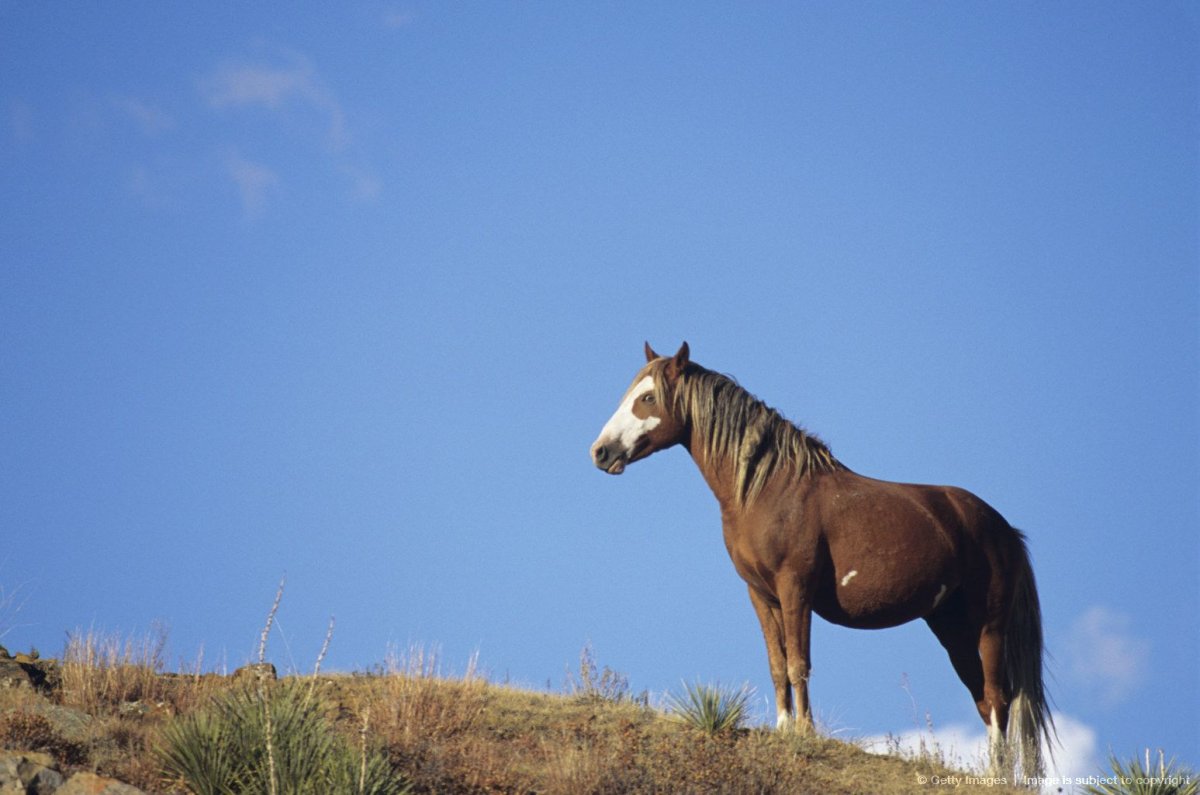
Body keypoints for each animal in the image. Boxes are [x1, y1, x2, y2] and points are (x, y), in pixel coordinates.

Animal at [590, 342, 1055, 780]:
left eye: (648, 397)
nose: (600, 452)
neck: (768, 489)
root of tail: (1003, 528)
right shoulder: (761, 595)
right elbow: (777, 665)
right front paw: (782, 730)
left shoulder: (795, 589)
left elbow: (799, 664)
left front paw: (805, 734)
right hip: (951, 628)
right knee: (982, 699)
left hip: (988, 628)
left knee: (997, 698)